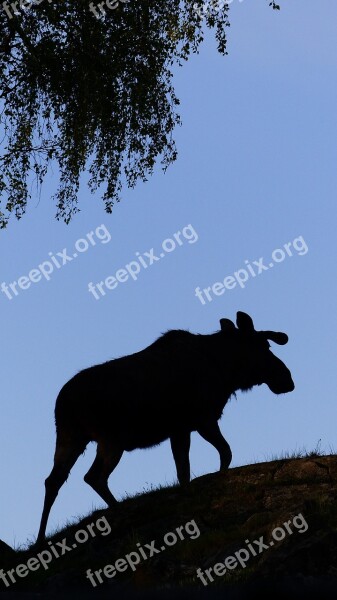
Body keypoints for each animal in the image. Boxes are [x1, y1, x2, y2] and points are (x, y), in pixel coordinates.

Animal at [37, 312, 294, 540]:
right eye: (265, 346)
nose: (287, 379)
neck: (226, 371)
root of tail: (63, 402)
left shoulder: (182, 428)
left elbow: (189, 468)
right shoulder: (200, 420)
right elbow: (218, 456)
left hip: (70, 437)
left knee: (53, 480)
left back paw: (40, 539)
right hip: (110, 440)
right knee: (93, 477)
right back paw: (118, 510)